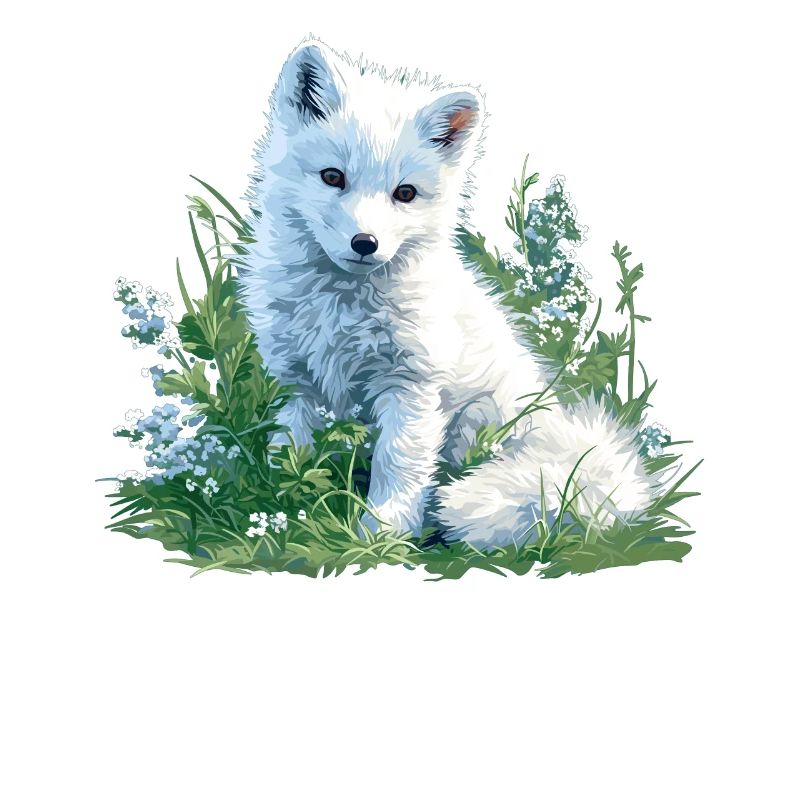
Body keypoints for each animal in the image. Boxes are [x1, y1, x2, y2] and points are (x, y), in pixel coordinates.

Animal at [239, 38, 657, 548]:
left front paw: (381, 534)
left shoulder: (412, 386)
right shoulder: (297, 382)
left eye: (404, 193)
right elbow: (290, 451)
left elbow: (397, 466)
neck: (341, 309)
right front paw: (278, 508)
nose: (365, 244)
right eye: (333, 177)